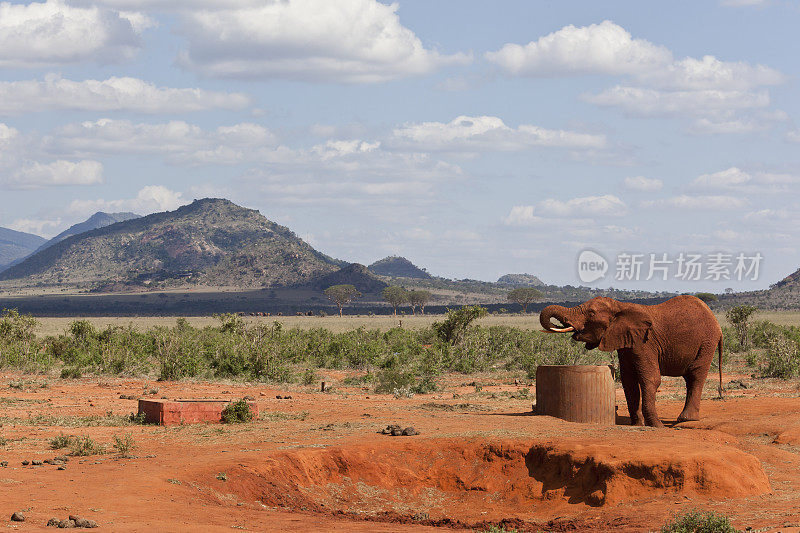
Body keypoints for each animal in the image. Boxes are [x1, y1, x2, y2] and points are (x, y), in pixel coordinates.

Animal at [540, 296, 720, 428]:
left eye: (591, 313)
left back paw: (686, 420)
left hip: (707, 342)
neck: (620, 306)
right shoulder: (625, 343)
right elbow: (629, 381)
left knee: (696, 374)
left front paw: (657, 426)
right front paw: (638, 425)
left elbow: (651, 379)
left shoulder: (645, 342)